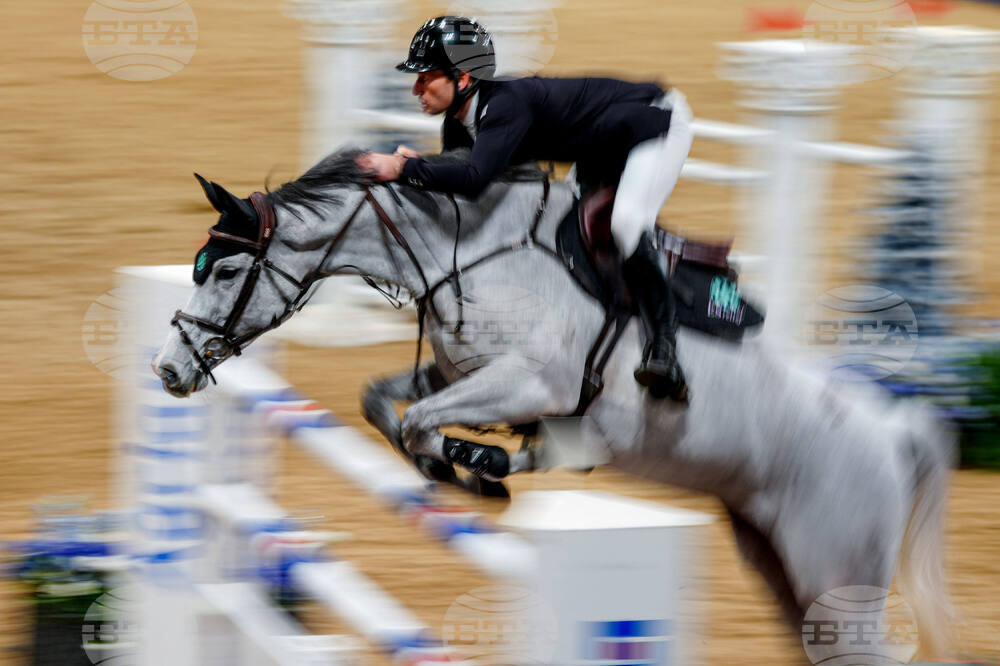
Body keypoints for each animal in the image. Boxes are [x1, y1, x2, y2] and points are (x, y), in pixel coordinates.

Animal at [152, 149, 955, 656]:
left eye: (225, 270)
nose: (167, 370)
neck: (469, 250)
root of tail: (897, 430)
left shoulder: (532, 382)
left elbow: (421, 424)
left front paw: (477, 463)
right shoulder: (463, 372)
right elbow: (385, 403)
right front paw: (468, 468)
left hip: (837, 577)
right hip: (785, 570)